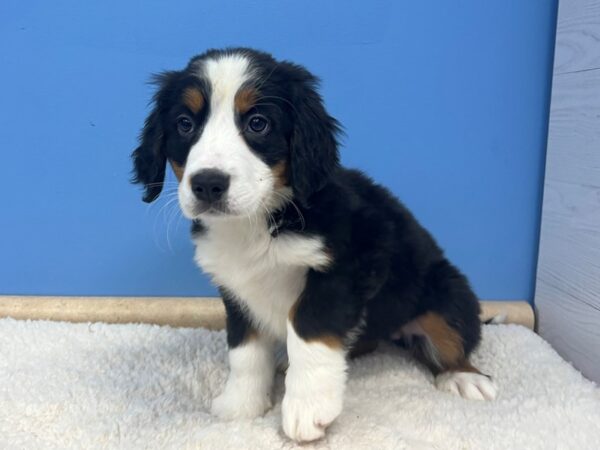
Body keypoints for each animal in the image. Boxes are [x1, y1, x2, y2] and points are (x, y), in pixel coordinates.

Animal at [132, 48, 496, 442]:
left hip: (447, 295)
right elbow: (244, 351)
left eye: (258, 123)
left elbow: (309, 332)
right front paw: (242, 404)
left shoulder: (345, 269)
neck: (259, 222)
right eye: (185, 124)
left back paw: (464, 377)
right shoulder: (237, 288)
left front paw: (307, 408)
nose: (208, 184)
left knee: (452, 339)